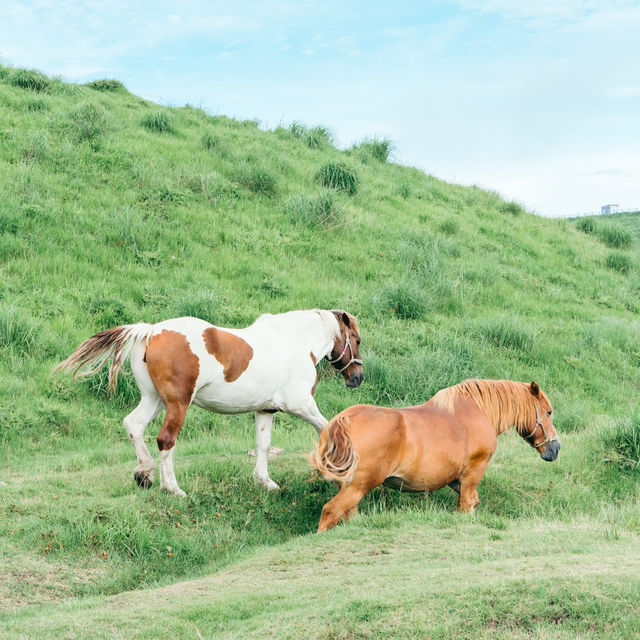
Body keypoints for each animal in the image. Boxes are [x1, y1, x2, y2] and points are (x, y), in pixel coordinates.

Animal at [55, 308, 362, 496]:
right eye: (357, 340)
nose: (357, 378)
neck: (293, 343)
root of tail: (152, 331)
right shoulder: (301, 404)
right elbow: (327, 428)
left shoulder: (265, 409)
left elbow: (264, 445)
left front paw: (265, 482)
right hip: (177, 404)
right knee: (166, 440)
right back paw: (173, 488)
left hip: (154, 400)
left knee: (134, 425)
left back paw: (145, 474)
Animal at [310, 378, 560, 532]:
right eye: (548, 412)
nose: (555, 449)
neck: (478, 411)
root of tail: (345, 420)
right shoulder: (472, 475)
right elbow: (466, 507)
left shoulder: (456, 481)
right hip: (358, 486)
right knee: (330, 512)